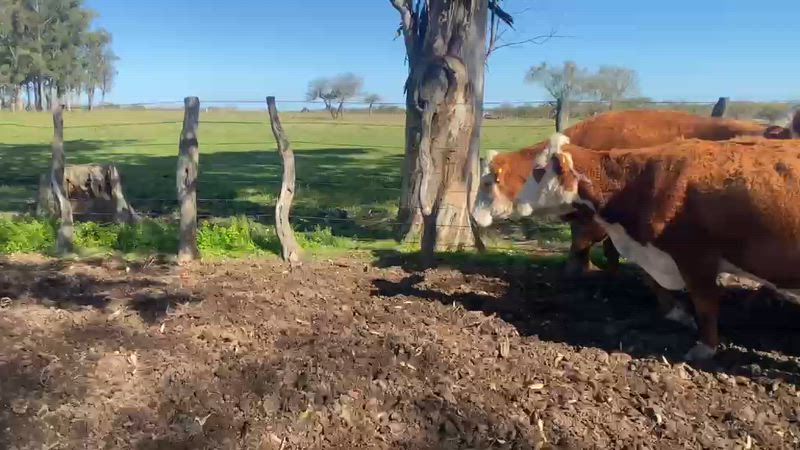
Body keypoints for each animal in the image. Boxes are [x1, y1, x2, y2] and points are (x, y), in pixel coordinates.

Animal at [513, 133, 800, 361]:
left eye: (538, 170)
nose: (517, 202)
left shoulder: (696, 258)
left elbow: (705, 304)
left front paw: (705, 348)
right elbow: (653, 282)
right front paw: (677, 313)